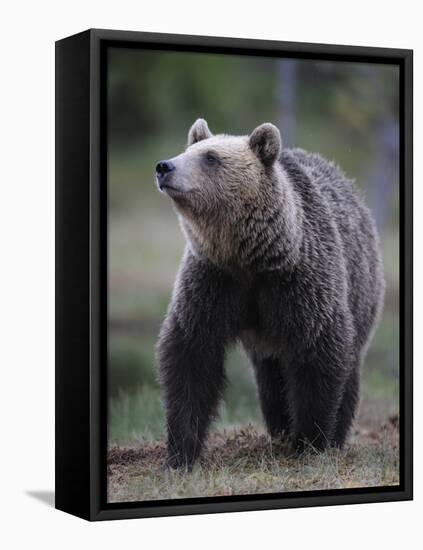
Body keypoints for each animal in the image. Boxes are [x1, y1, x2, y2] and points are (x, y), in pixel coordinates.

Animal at [155, 117, 384, 470]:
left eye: (210, 157)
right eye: (188, 149)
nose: (164, 166)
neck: (250, 256)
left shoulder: (299, 282)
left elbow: (319, 354)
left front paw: (310, 442)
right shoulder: (213, 281)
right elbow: (191, 354)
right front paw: (181, 453)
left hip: (361, 288)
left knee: (348, 365)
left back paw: (334, 437)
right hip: (265, 341)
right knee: (270, 378)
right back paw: (279, 430)